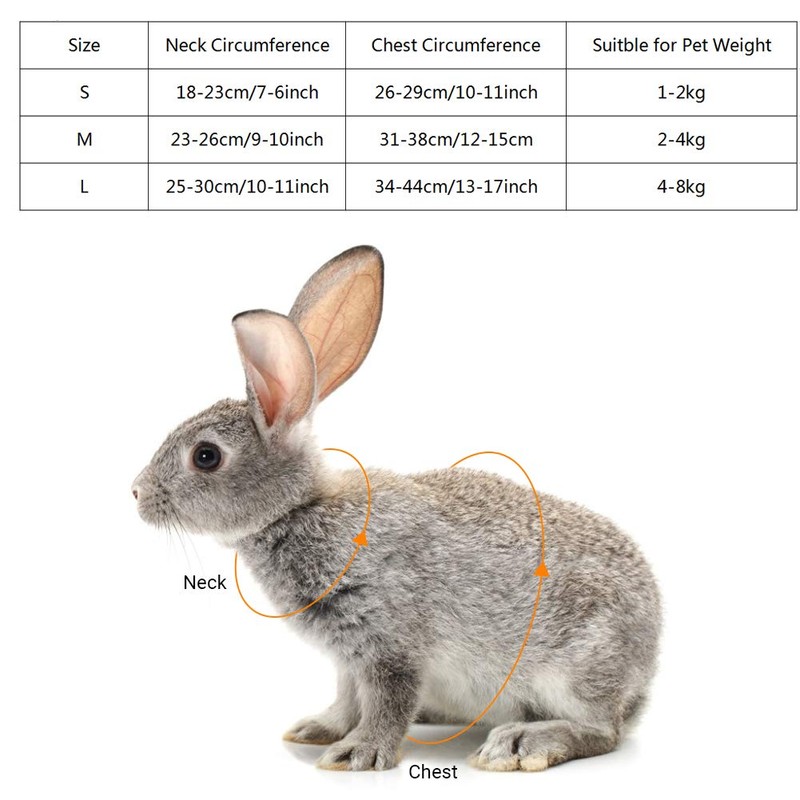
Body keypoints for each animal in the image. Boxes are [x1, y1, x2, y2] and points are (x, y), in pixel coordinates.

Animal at [133, 245, 661, 772]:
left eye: (206, 456)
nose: (137, 493)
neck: (299, 509)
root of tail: (645, 672)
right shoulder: (347, 657)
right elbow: (348, 697)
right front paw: (319, 730)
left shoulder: (390, 641)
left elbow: (389, 696)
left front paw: (357, 753)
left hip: (577, 666)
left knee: (602, 731)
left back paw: (520, 743)